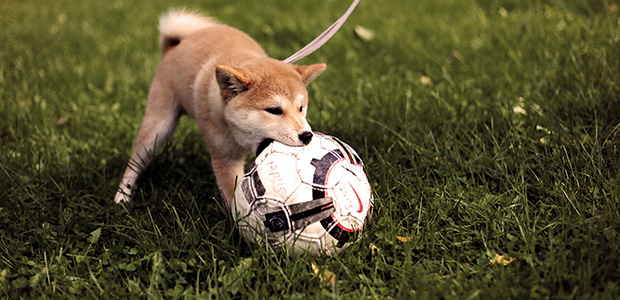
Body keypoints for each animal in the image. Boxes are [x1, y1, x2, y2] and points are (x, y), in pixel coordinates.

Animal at [117, 8, 330, 206]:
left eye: (301, 108)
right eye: (274, 110)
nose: (307, 136)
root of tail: (175, 44)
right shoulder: (225, 158)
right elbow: (234, 196)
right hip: (158, 126)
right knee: (135, 161)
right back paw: (122, 195)